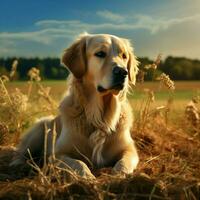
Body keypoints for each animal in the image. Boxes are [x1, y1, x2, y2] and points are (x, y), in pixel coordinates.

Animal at [10, 32, 139, 178]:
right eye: (100, 53)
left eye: (124, 56)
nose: (123, 72)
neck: (100, 117)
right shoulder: (57, 154)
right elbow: (78, 162)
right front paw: (87, 176)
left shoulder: (130, 150)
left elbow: (124, 162)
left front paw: (119, 174)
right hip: (38, 130)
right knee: (20, 152)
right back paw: (18, 165)